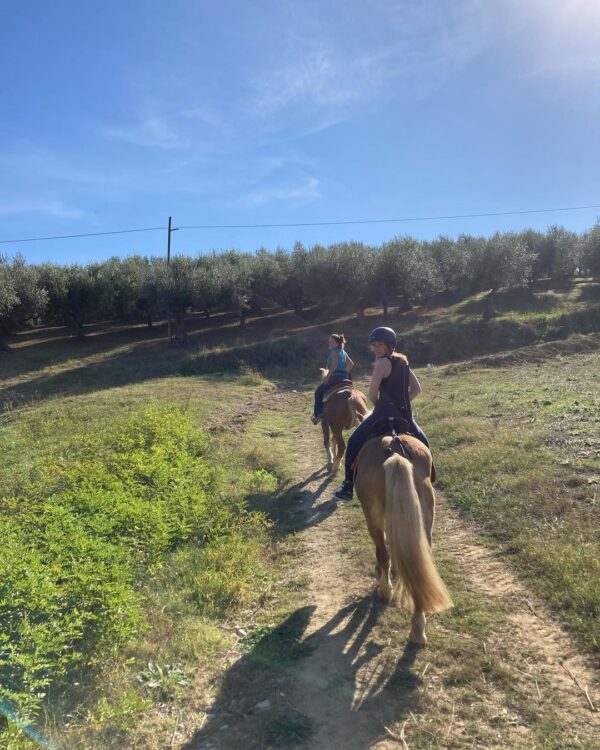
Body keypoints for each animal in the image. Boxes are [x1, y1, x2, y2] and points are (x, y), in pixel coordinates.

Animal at [352, 428, 450, 648]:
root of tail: (395, 450)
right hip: (424, 516)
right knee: (419, 561)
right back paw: (418, 630)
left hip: (373, 516)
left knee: (382, 552)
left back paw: (385, 591)